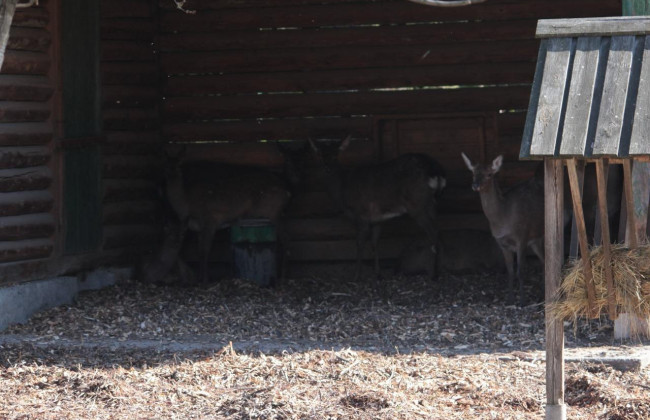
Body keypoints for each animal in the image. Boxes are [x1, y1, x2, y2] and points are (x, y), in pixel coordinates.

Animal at [165, 158, 292, 286]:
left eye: (179, 166)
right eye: (164, 164)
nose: (171, 173)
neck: (186, 206)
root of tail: (287, 192)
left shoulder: (210, 220)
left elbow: (205, 251)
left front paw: (205, 281)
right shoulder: (198, 229)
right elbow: (199, 252)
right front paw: (199, 278)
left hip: (273, 213)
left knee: (286, 240)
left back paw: (282, 278)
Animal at [310, 136, 446, 290]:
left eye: (335, 155)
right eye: (320, 155)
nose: (326, 168)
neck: (342, 190)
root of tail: (436, 171)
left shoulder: (361, 214)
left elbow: (359, 244)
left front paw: (356, 276)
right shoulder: (377, 219)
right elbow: (375, 243)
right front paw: (378, 275)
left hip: (417, 204)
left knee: (433, 234)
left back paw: (433, 274)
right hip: (432, 203)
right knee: (439, 232)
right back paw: (439, 270)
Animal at [458, 153, 544, 306]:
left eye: (489, 174)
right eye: (473, 173)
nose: (475, 185)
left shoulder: (522, 237)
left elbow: (520, 271)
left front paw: (522, 301)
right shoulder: (502, 244)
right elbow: (510, 271)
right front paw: (509, 300)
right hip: (535, 240)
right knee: (544, 261)